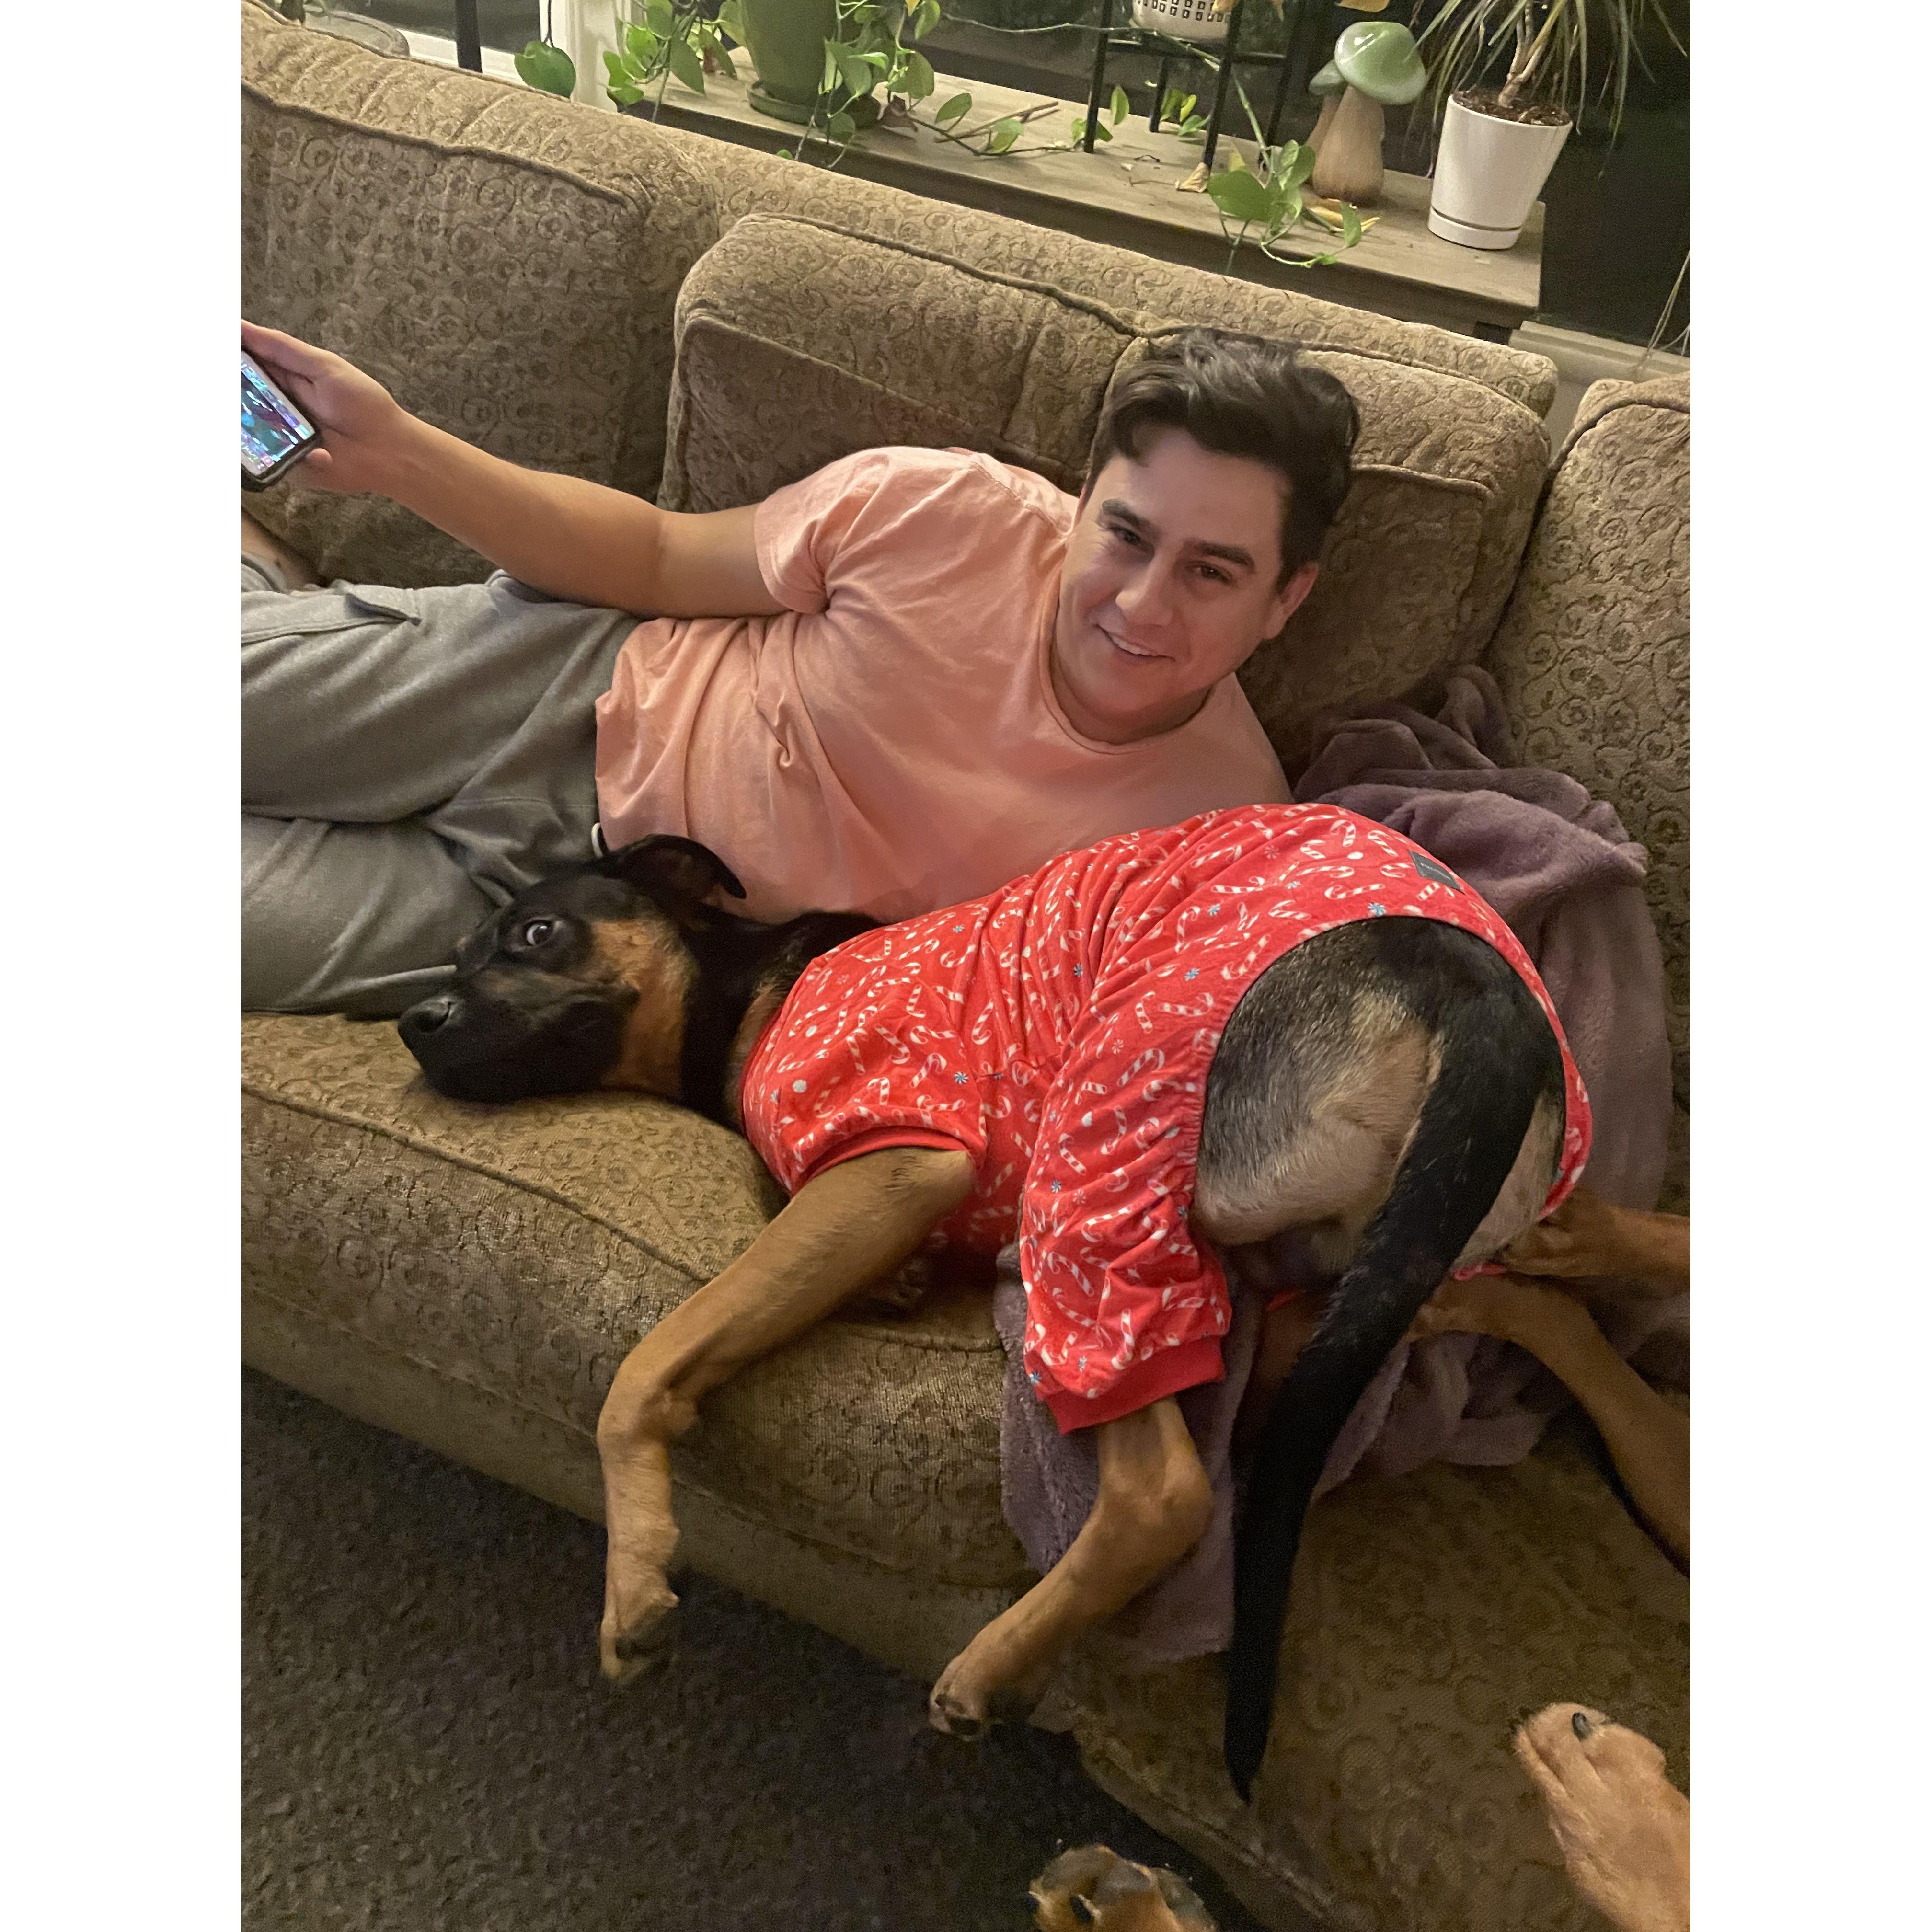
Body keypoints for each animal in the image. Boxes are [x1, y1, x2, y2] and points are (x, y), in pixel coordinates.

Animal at [399, 815, 1585, 1799]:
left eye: (534, 931)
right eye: (456, 957)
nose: (415, 1019)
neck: (744, 992)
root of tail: (1489, 1003)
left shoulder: (895, 1162)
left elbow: (648, 1363)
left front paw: (636, 1575)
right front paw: (899, 1280)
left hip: (1100, 1156)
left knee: (1168, 1488)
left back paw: (992, 1667)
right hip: (1319, 1251)